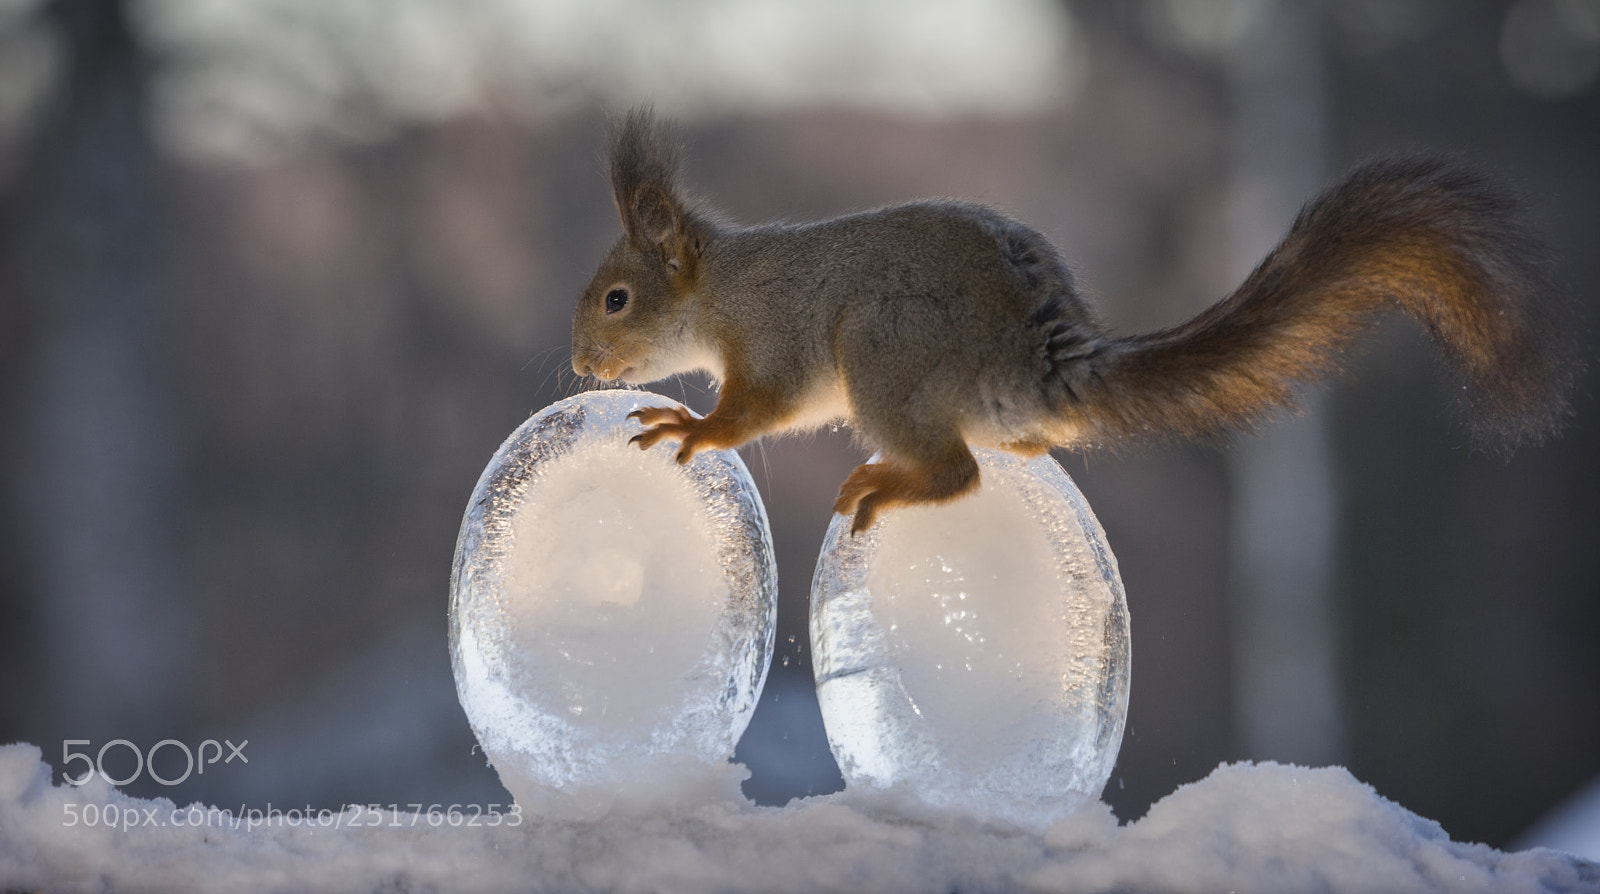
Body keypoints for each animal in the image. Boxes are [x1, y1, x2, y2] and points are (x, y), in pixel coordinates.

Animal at [571, 108, 1579, 535]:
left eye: (617, 299)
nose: (581, 366)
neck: (719, 289)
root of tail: (1035, 352)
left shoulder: (776, 338)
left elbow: (758, 409)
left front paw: (691, 426)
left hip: (883, 353)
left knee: (959, 473)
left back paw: (889, 484)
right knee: (1012, 448)